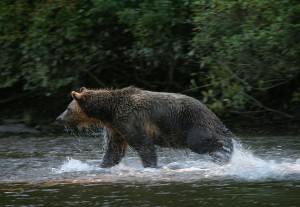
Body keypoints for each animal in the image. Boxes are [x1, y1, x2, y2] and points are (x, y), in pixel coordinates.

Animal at [56, 86, 234, 168]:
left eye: (68, 108)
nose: (59, 118)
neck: (108, 112)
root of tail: (212, 113)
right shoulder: (116, 128)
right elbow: (114, 150)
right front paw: (103, 165)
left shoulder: (129, 120)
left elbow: (143, 145)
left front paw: (150, 165)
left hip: (194, 124)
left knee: (200, 142)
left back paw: (224, 150)